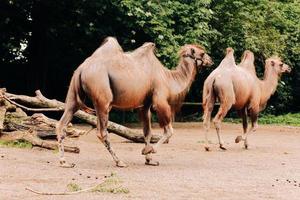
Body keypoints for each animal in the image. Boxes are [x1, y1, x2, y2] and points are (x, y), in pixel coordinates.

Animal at [55, 36, 211, 167]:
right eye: (202, 53)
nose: (210, 60)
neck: (168, 78)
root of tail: (81, 69)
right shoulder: (160, 100)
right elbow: (169, 131)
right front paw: (149, 151)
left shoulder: (145, 104)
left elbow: (147, 132)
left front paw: (149, 159)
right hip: (103, 99)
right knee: (102, 132)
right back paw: (119, 161)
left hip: (73, 97)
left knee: (62, 124)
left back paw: (64, 161)